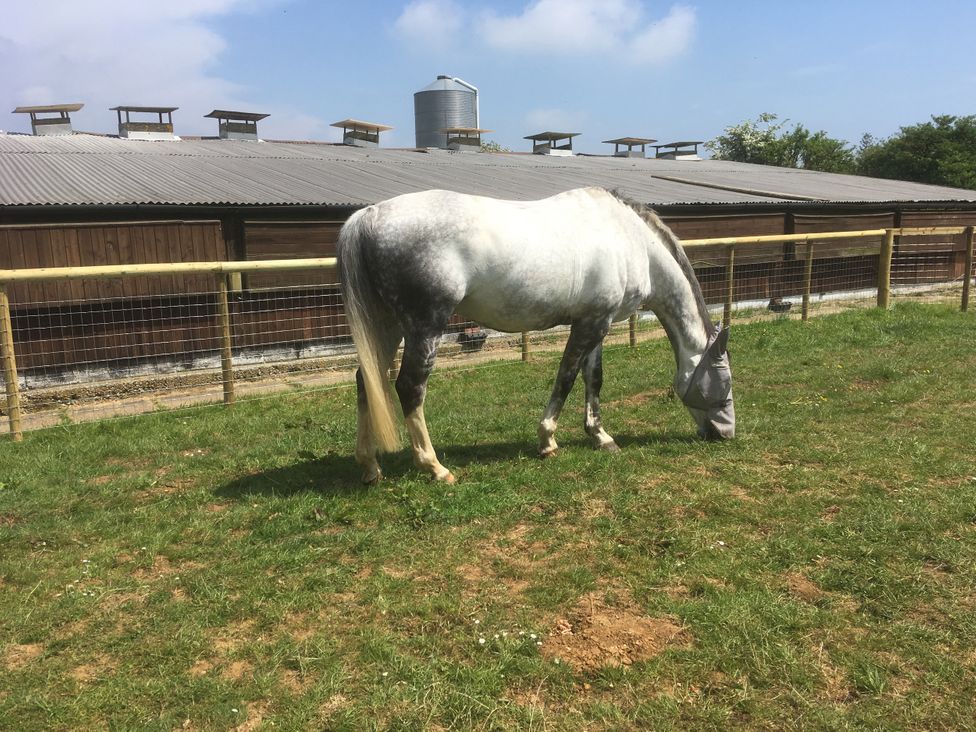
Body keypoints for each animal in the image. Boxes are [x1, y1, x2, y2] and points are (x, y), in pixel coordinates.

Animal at [337, 187, 735, 484]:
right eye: (725, 384)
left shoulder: (597, 321)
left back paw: (370, 467)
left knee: (365, 380)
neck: (629, 238)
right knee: (409, 387)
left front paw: (601, 437)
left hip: (387, 326)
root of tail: (369, 216)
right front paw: (547, 440)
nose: (726, 434)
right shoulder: (591, 325)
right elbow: (566, 378)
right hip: (424, 327)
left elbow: (593, 379)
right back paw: (435, 467)